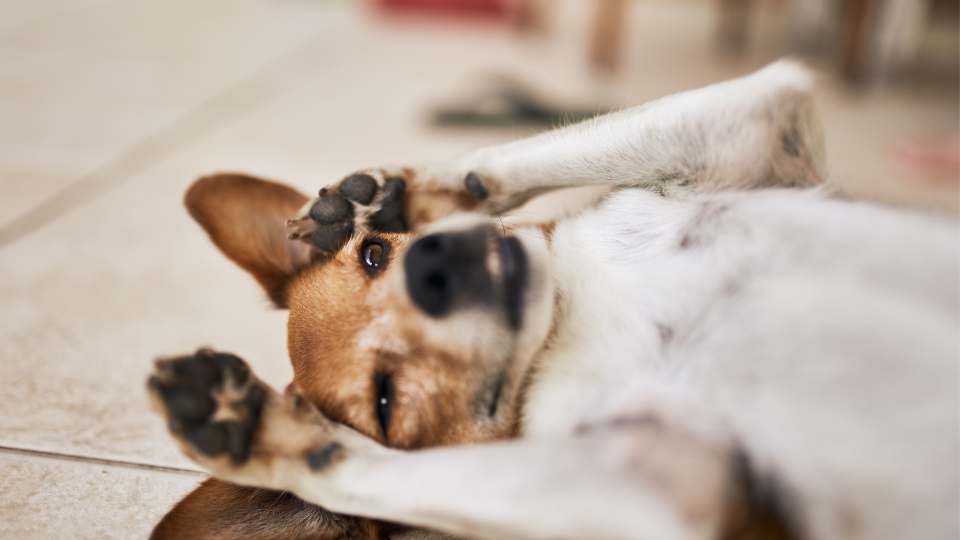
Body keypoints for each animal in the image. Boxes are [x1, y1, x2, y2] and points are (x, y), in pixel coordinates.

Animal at [148, 61, 960, 536]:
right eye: (385, 399)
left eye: (375, 256)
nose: (433, 266)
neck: (570, 313)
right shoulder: (659, 478)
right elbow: (361, 471)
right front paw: (257, 430)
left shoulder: (752, 126)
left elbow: (518, 155)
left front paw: (388, 196)